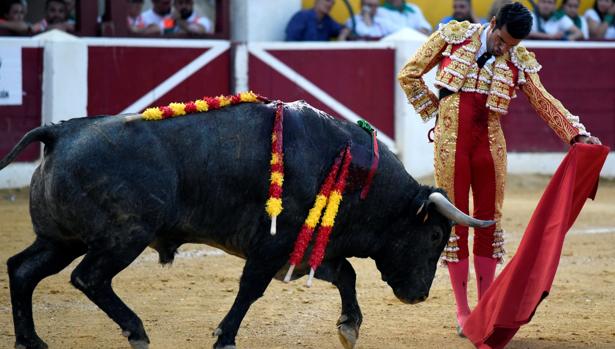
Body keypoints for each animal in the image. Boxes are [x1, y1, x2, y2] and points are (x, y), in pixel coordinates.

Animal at [0, 98, 490, 348]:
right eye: (434, 234)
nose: (419, 295)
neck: (350, 169)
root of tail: (60, 131)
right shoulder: (272, 246)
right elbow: (251, 289)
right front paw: (225, 336)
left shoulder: (303, 250)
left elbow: (346, 274)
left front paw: (349, 327)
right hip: (123, 238)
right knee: (88, 278)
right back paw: (136, 331)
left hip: (60, 239)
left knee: (22, 270)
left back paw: (32, 341)